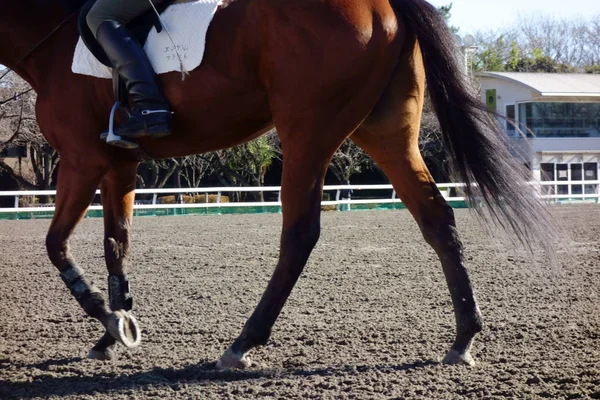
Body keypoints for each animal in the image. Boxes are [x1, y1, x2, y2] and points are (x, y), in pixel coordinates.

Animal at [0, 0, 552, 368]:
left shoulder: (81, 158)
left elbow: (56, 244)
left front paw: (109, 321)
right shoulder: (119, 162)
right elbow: (117, 245)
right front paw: (115, 331)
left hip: (308, 130)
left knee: (300, 233)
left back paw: (243, 342)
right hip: (386, 133)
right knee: (436, 218)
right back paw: (463, 338)